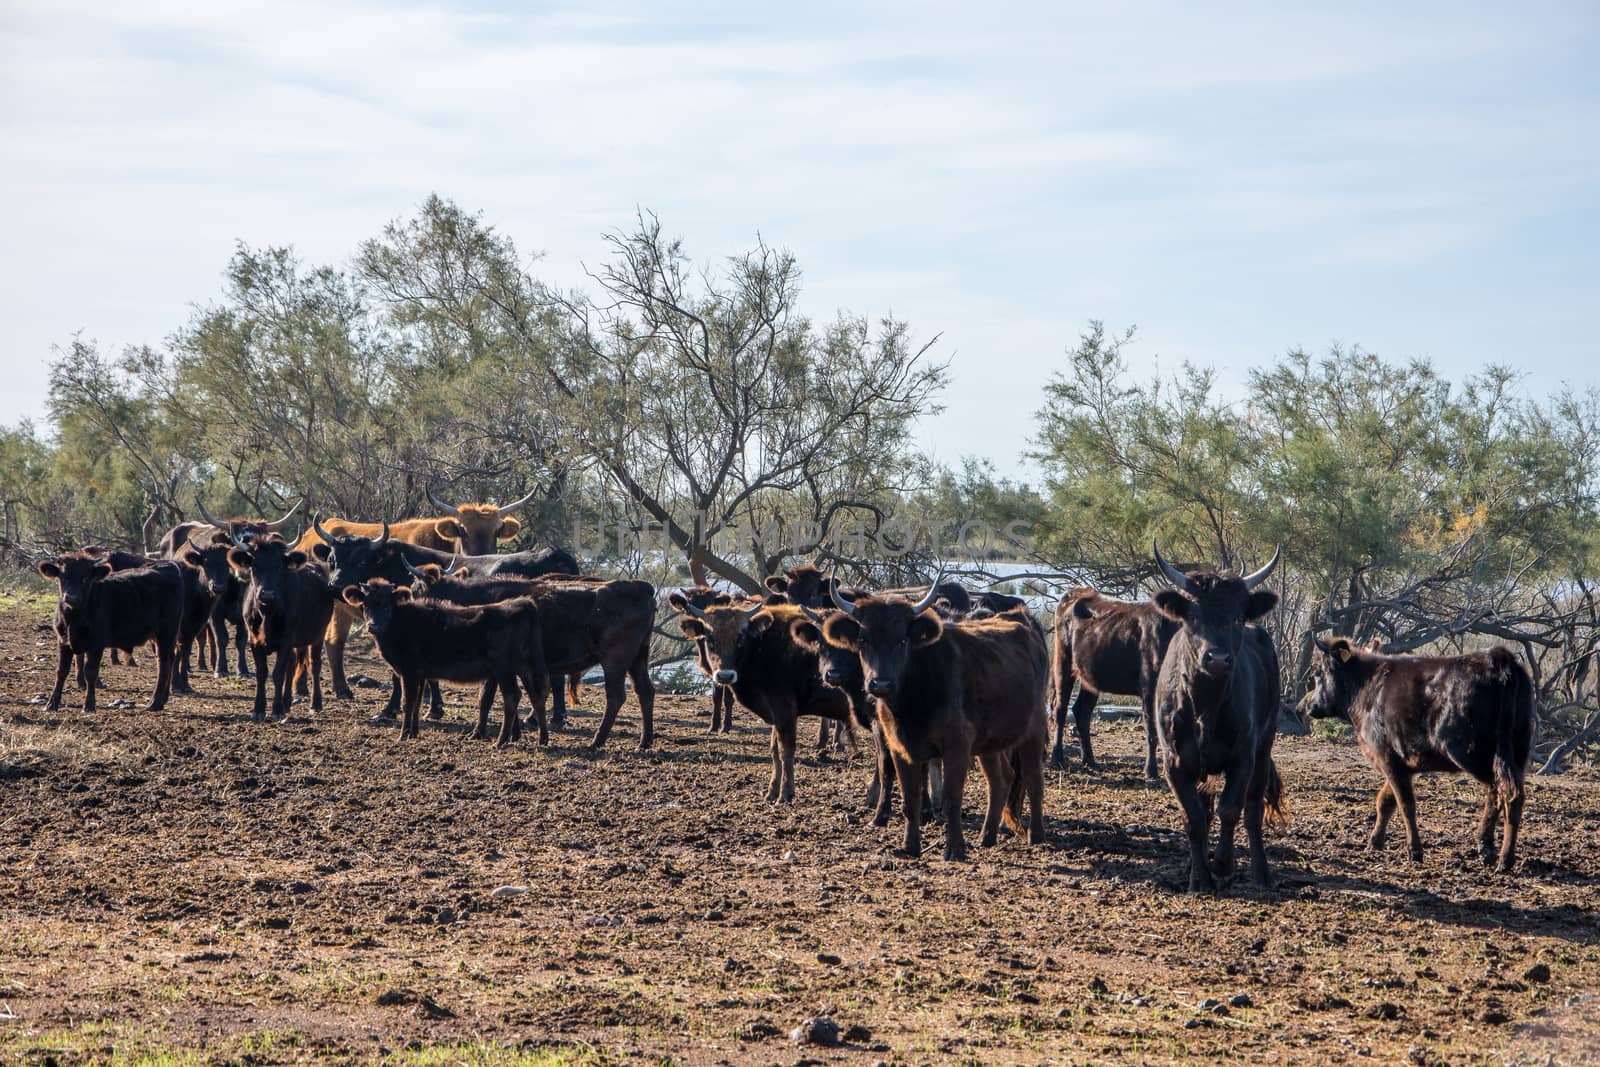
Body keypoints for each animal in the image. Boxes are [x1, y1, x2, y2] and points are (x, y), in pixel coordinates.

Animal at [38, 556, 183, 713]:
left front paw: (89, 705)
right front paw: (51, 704)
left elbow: (90, 672)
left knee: (164, 663)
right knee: (167, 659)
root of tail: (167, 564)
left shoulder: (96, 644)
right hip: (156, 637)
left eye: (85, 578)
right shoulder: (63, 641)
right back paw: (162, 700)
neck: (74, 618)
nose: (71, 597)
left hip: (166, 633)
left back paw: (154, 702)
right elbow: (61, 671)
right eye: (63, 577)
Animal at [1152, 543, 1286, 895]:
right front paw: (1199, 879)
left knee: (1252, 810)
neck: (1204, 706)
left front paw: (1223, 865)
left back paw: (1261, 873)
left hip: (1264, 745)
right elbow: (1194, 819)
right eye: (1193, 616)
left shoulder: (1243, 756)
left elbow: (1230, 809)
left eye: (1237, 616)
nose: (1217, 658)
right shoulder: (1174, 761)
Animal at [1299, 639, 1536, 870]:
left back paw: (1504, 860)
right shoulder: (1403, 763)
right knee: (1498, 795)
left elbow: (1406, 804)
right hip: (1516, 752)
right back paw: (1485, 848)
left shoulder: (1387, 757)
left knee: (1508, 795)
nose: (1309, 706)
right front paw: (1374, 842)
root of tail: (1498, 657)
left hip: (1475, 755)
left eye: (1318, 673)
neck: (1367, 689)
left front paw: (1414, 851)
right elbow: (1385, 801)